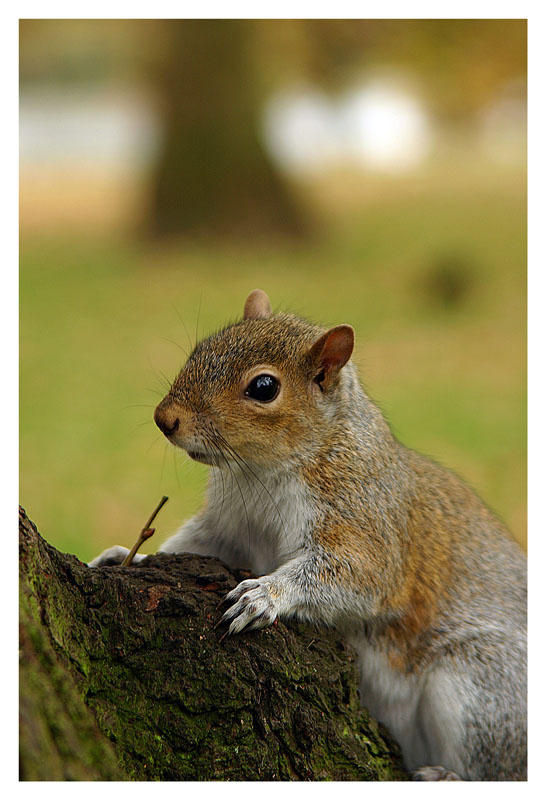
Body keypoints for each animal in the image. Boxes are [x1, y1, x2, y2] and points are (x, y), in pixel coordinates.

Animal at [90, 289, 527, 781]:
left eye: (264, 388)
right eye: (201, 349)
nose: (165, 418)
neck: (263, 470)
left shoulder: (364, 520)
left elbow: (354, 575)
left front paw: (264, 594)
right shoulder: (229, 529)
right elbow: (193, 546)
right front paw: (129, 556)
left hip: (480, 685)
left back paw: (446, 776)